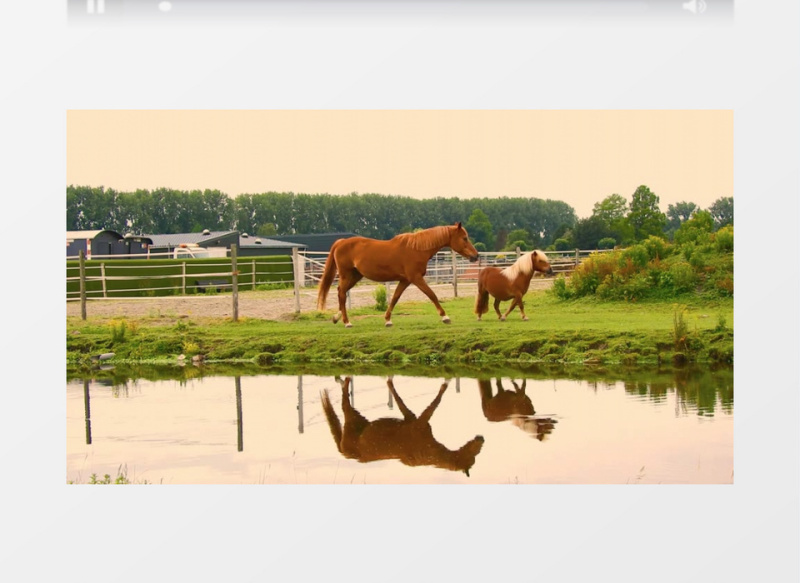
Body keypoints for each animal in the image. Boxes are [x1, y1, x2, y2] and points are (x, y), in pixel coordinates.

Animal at [317, 222, 479, 327]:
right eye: (464, 238)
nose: (476, 256)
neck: (417, 249)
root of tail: (341, 242)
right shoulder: (416, 278)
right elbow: (432, 295)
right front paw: (445, 317)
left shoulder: (405, 280)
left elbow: (395, 298)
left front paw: (388, 320)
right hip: (346, 275)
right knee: (342, 293)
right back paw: (347, 322)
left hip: (356, 276)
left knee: (341, 292)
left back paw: (337, 317)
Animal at [320, 376, 485, 476]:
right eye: (472, 456)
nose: (481, 438)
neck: (427, 451)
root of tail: (345, 452)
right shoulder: (417, 421)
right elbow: (434, 402)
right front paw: (446, 381)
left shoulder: (412, 418)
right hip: (351, 417)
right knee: (344, 399)